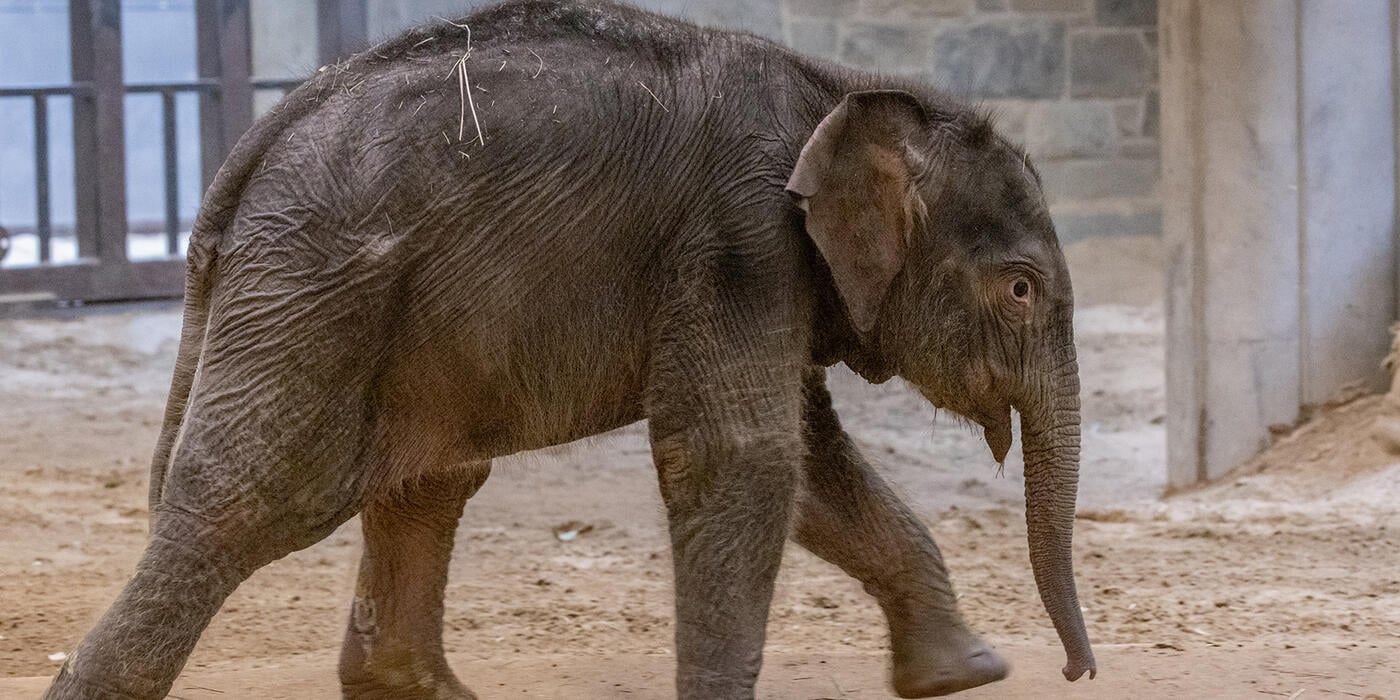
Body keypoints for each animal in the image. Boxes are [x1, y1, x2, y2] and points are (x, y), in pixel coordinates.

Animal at [44, 0, 1095, 698]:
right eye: (1020, 289)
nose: (1078, 671)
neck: (838, 91)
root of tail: (250, 152)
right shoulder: (738, 238)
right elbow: (745, 460)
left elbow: (811, 468)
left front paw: (966, 675)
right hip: (313, 285)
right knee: (253, 500)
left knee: (426, 483)